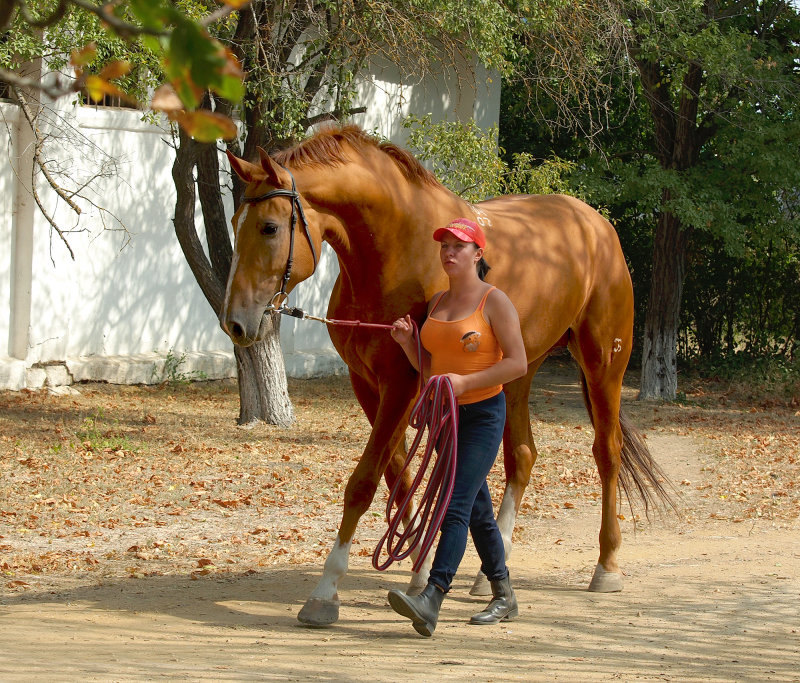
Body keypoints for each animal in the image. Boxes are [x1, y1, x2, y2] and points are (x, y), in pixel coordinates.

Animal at [217, 123, 668, 624]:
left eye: (270, 227)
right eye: (236, 224)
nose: (235, 323)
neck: (400, 249)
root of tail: (596, 224)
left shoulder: (403, 384)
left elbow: (364, 483)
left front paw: (326, 592)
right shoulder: (368, 385)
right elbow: (401, 478)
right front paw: (416, 566)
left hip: (603, 364)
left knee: (607, 453)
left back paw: (606, 566)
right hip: (518, 373)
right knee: (522, 456)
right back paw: (490, 573)